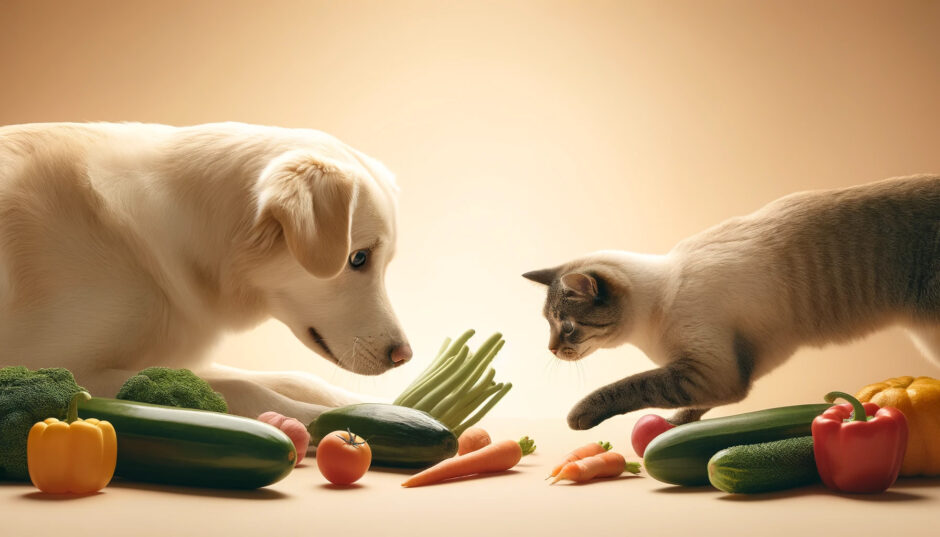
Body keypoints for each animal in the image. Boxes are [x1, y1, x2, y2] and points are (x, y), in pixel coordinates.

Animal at [0, 120, 412, 422]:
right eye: (358, 259)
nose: (403, 356)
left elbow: (296, 377)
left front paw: (389, 407)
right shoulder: (56, 368)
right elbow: (246, 389)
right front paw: (326, 420)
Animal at [524, 174, 936, 430]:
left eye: (567, 327)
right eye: (549, 326)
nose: (551, 349)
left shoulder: (707, 372)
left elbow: (631, 386)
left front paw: (578, 416)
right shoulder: (729, 371)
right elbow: (690, 408)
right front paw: (674, 427)